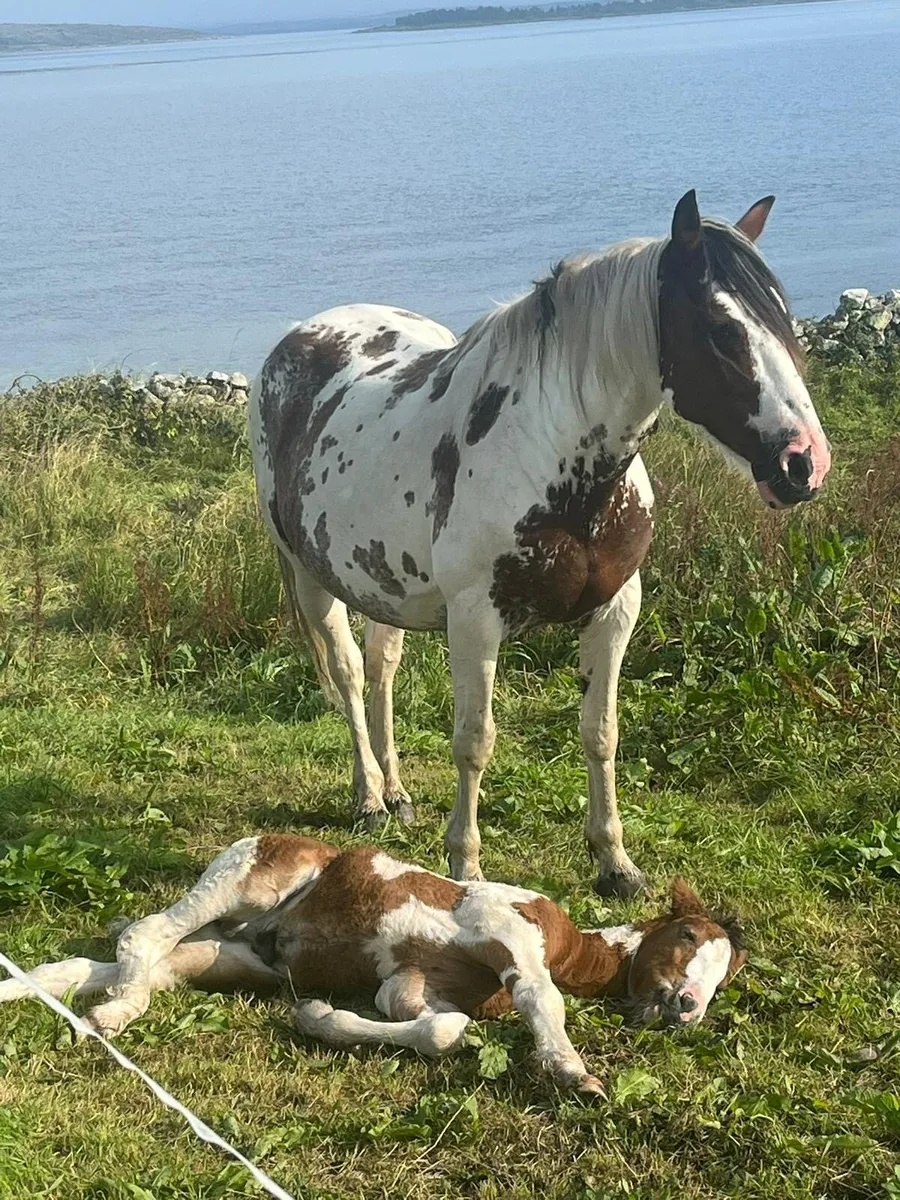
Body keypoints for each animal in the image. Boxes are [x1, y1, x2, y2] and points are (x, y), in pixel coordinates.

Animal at [0, 835, 745, 1097]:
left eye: (724, 976)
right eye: (686, 935)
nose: (686, 1007)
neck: (566, 945)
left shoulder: (411, 983)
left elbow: (431, 1026)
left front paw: (317, 1015)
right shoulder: (506, 932)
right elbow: (544, 1001)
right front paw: (575, 1074)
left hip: (224, 957)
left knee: (102, 962)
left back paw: (80, 1001)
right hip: (248, 882)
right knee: (145, 932)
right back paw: (115, 1015)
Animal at [248, 190, 830, 895]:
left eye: (786, 323)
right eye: (724, 330)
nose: (804, 464)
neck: (556, 463)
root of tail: (297, 339)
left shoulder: (615, 610)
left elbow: (601, 732)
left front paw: (615, 862)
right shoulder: (476, 620)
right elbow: (474, 741)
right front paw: (466, 867)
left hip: (383, 583)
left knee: (382, 666)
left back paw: (397, 792)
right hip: (313, 579)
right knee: (349, 673)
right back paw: (368, 797)